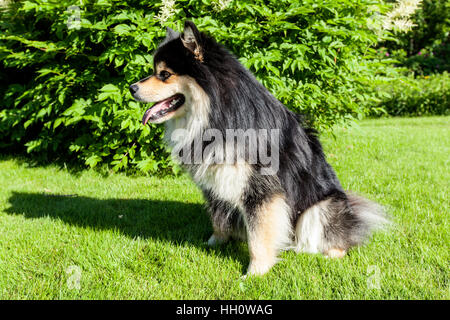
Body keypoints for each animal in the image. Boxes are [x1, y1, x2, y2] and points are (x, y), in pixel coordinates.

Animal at [129, 21, 386, 278]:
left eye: (164, 74)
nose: (131, 87)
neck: (216, 115)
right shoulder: (215, 182)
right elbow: (218, 219)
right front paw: (213, 244)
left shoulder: (261, 190)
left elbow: (258, 236)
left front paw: (255, 273)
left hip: (320, 209)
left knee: (333, 240)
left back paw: (324, 254)